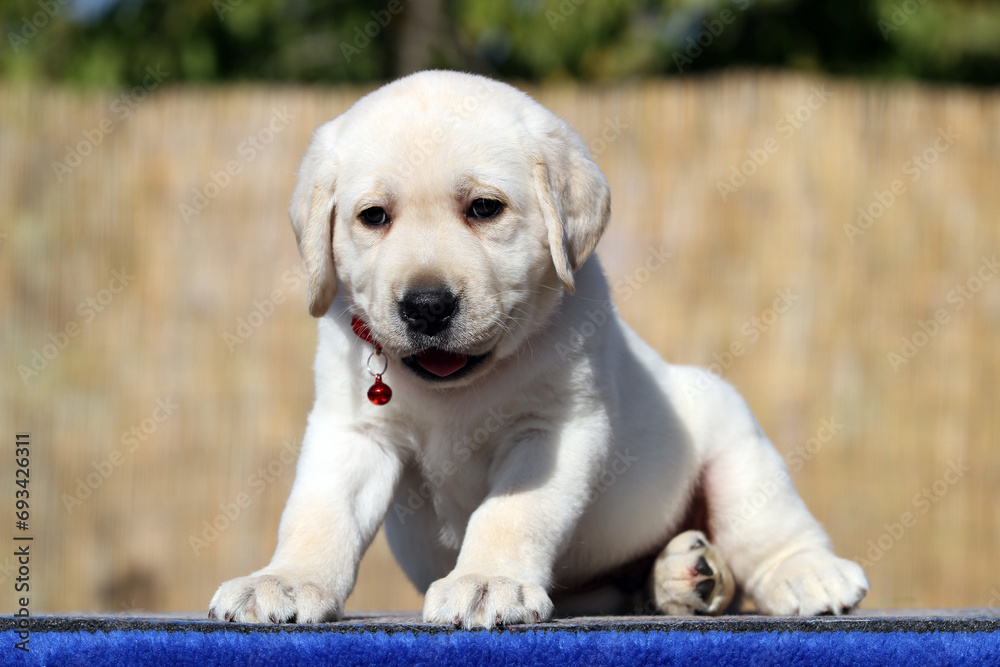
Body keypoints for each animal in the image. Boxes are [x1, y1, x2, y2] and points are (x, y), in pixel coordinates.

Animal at [209, 70, 868, 628]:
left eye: (484, 208)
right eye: (373, 216)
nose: (426, 306)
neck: (455, 389)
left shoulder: (554, 429)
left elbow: (510, 513)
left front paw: (484, 580)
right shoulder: (352, 430)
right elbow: (319, 514)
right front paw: (284, 580)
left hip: (737, 445)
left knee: (768, 529)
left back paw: (805, 574)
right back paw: (680, 576)